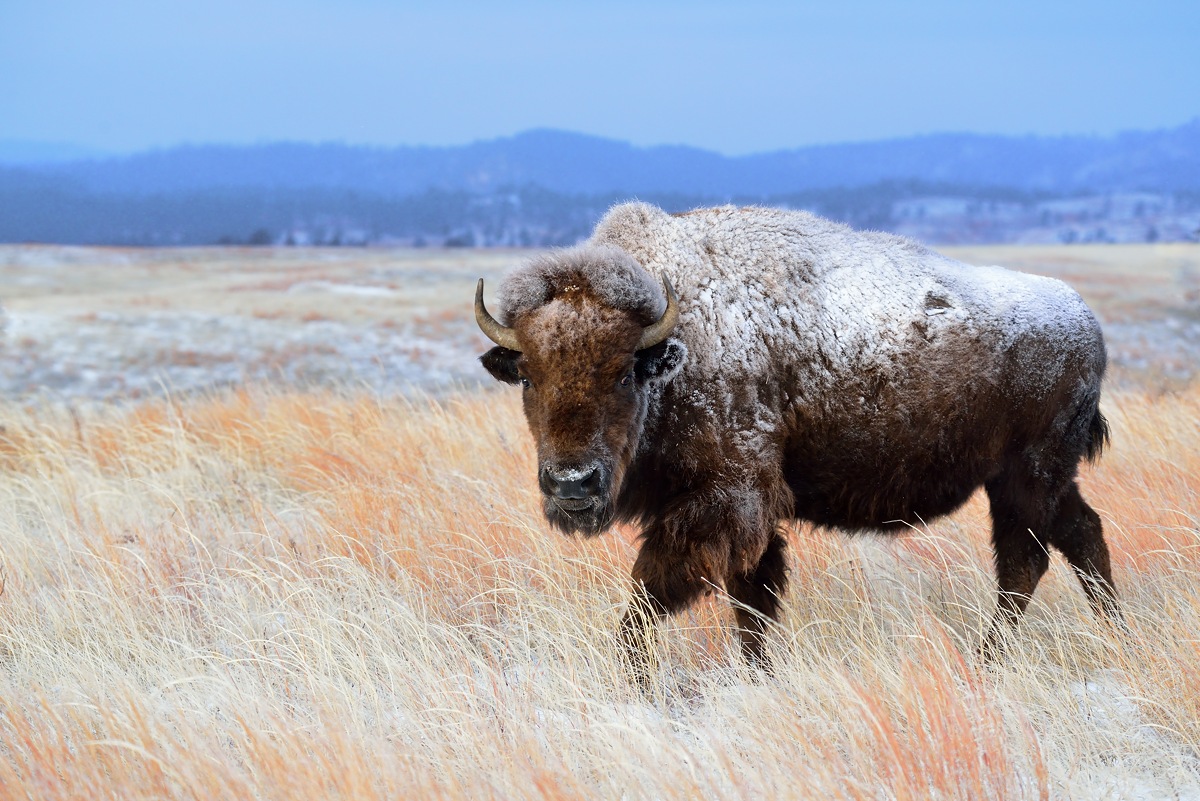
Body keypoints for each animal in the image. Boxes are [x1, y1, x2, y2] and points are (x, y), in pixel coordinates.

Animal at [475, 202, 1117, 678]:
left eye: (625, 372)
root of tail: (1085, 318)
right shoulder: (740, 517)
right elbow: (750, 599)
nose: (573, 483)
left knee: (1028, 559)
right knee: (1078, 536)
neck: (679, 343)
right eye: (528, 375)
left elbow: (653, 594)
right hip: (1031, 480)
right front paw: (760, 674)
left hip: (1028, 476)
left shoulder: (727, 501)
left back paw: (991, 661)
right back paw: (1113, 637)